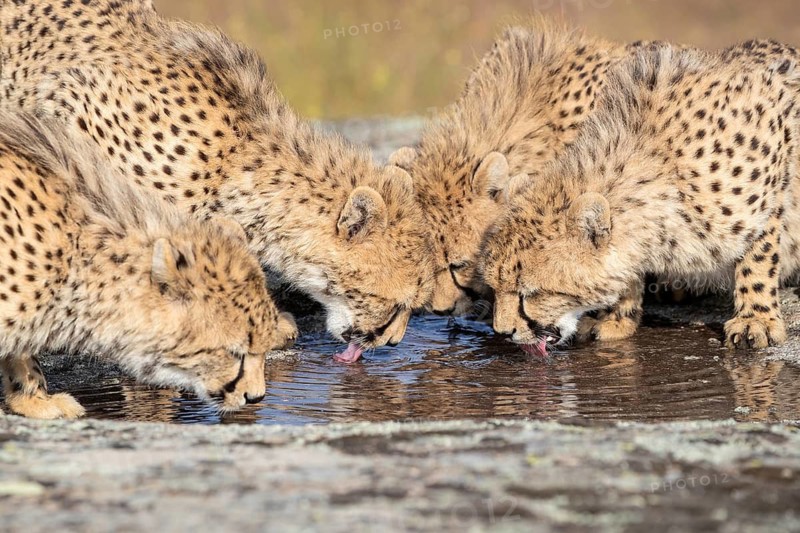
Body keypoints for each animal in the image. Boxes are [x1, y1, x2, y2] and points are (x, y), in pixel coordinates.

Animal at [481, 44, 800, 356]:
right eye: (495, 286)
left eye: (531, 293)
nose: (503, 332)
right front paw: (615, 318)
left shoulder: (774, 161)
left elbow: (758, 259)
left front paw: (755, 319)